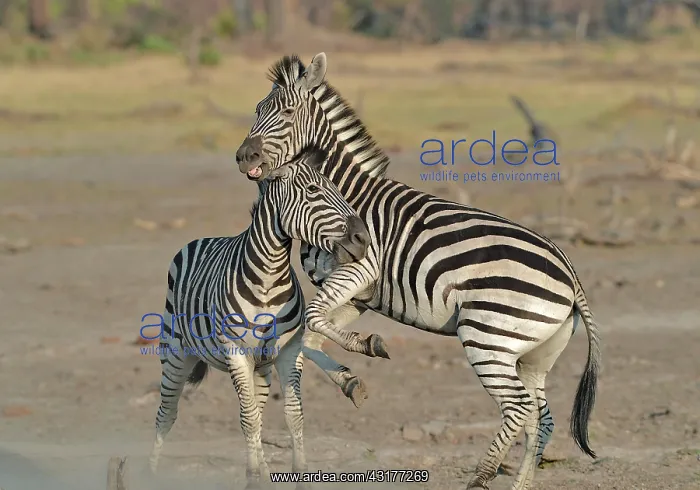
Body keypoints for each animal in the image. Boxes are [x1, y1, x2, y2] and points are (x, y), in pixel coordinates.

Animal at [148, 147, 371, 490]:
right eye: (313, 190)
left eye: (338, 189)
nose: (363, 239)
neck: (268, 277)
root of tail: (200, 239)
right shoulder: (236, 354)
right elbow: (248, 419)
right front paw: (252, 476)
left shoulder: (287, 353)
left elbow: (292, 415)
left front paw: (297, 474)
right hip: (175, 354)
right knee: (166, 414)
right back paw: (153, 474)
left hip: (261, 367)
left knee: (258, 410)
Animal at [235, 53, 601, 490]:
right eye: (257, 110)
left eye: (287, 113)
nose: (243, 157)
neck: (344, 193)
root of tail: (571, 275)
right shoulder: (357, 296)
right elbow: (312, 336)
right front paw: (351, 380)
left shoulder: (360, 270)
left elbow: (313, 321)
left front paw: (367, 347)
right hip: (532, 356)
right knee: (540, 420)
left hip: (488, 339)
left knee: (517, 409)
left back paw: (482, 475)